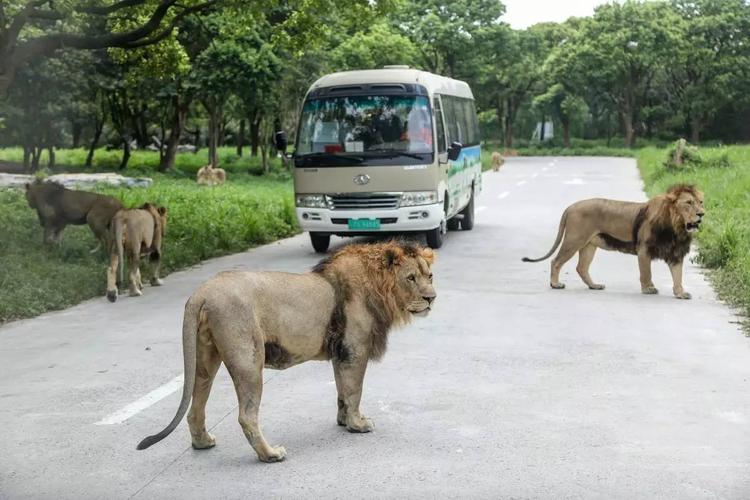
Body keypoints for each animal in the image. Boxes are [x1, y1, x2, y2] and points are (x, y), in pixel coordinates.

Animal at [138, 240, 438, 462]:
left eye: (430, 276)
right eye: (411, 278)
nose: (431, 298)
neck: (380, 288)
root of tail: (202, 292)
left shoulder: (340, 354)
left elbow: (342, 391)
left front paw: (343, 422)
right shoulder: (354, 350)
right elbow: (354, 391)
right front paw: (359, 424)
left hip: (206, 360)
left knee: (195, 407)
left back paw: (203, 442)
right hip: (249, 360)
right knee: (246, 415)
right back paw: (270, 454)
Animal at [524, 185, 704, 298]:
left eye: (701, 202)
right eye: (689, 203)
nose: (702, 214)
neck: (677, 227)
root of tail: (571, 206)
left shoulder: (676, 254)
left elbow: (678, 276)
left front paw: (680, 293)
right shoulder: (644, 250)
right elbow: (646, 273)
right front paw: (648, 289)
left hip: (589, 245)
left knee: (581, 267)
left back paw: (594, 286)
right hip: (574, 240)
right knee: (556, 261)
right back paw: (555, 284)